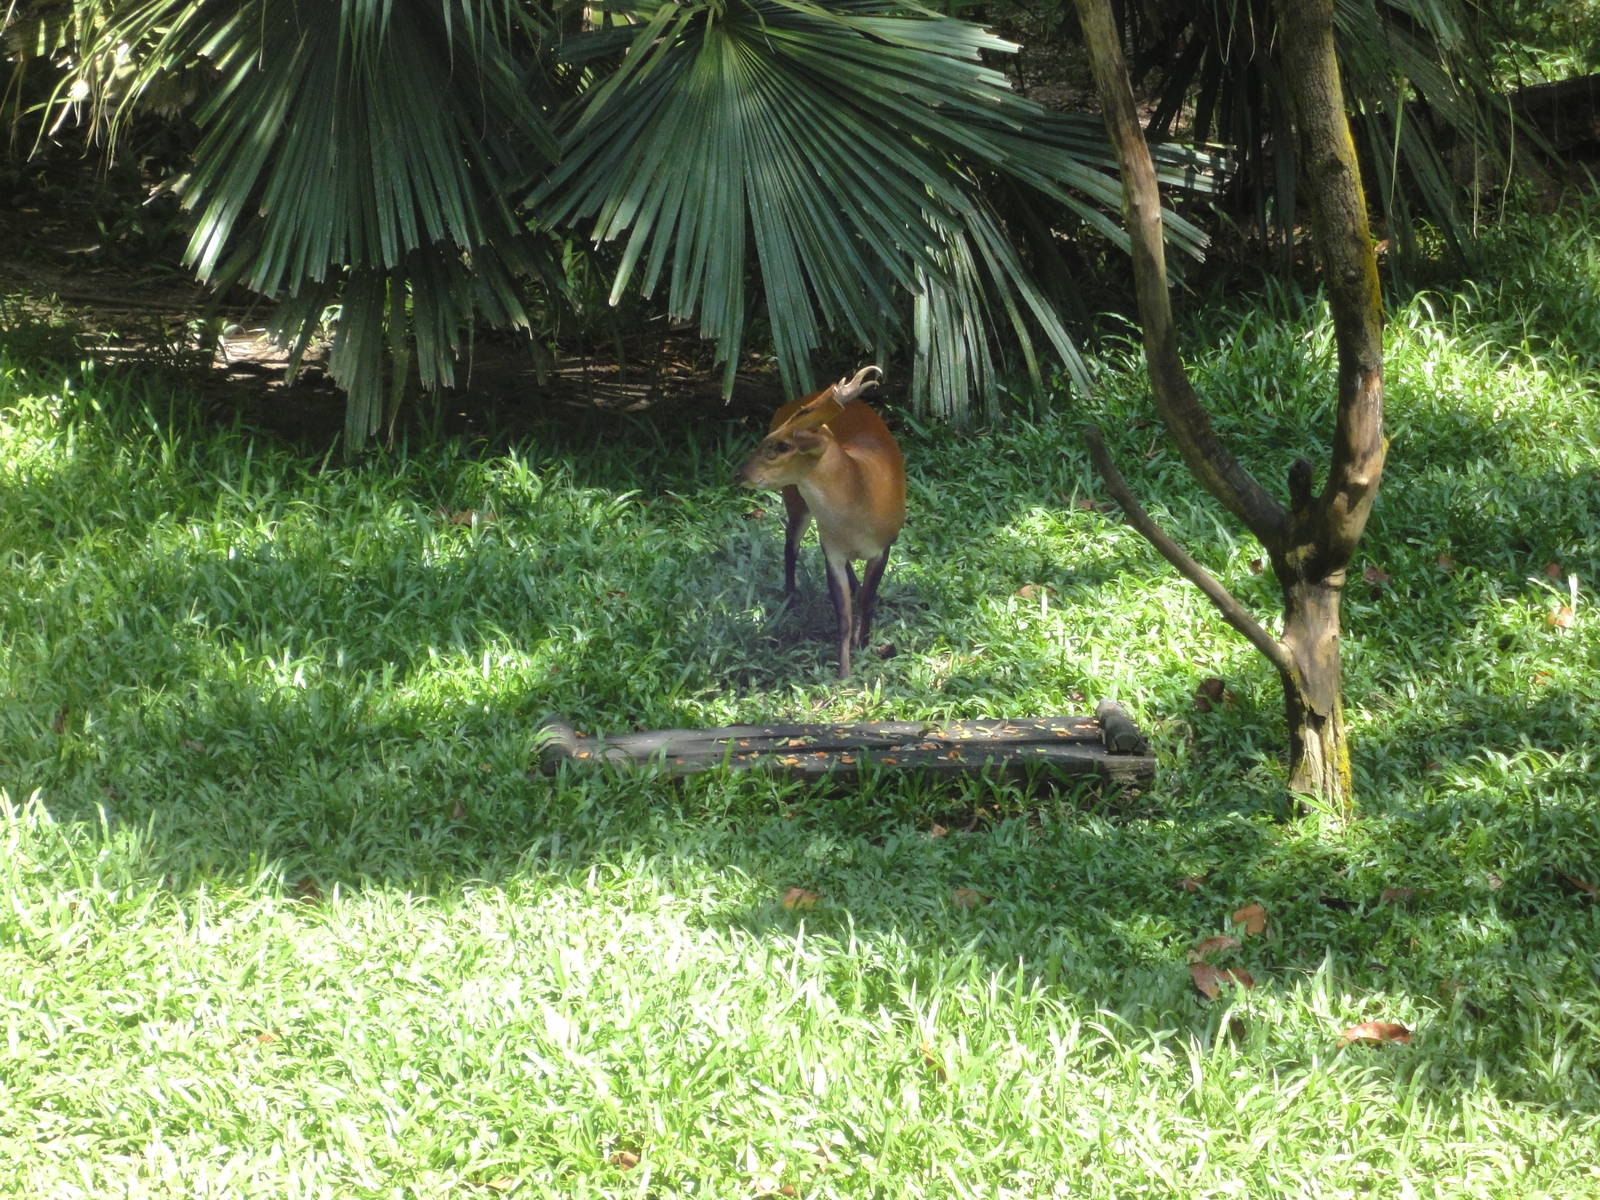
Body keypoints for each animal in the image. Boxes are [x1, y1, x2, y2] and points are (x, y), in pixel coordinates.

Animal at [736, 366, 905, 678]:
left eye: (781, 445)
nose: (740, 473)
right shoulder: (832, 552)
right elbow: (844, 616)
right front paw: (845, 672)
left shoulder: (884, 545)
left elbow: (866, 600)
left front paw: (863, 645)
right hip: (795, 499)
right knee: (790, 545)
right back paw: (790, 598)